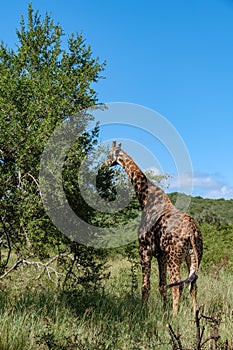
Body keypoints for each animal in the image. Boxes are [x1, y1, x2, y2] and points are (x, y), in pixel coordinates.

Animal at [104, 142, 203, 314]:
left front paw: (143, 311)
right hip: (194, 256)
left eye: (109, 155)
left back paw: (174, 315)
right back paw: (194, 314)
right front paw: (162, 310)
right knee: (193, 285)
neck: (146, 198)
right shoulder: (160, 254)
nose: (103, 165)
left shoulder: (144, 249)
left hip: (174, 257)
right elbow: (162, 285)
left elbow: (145, 286)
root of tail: (192, 231)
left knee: (177, 285)